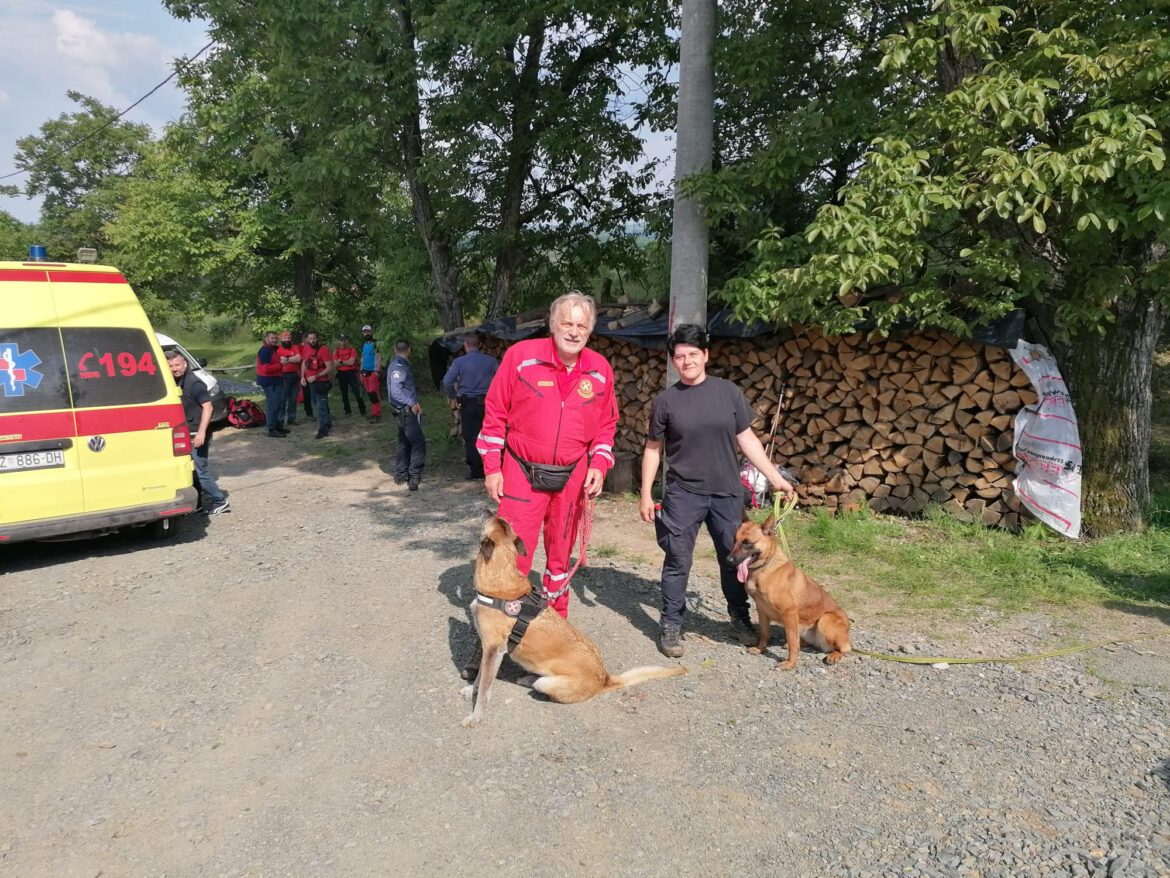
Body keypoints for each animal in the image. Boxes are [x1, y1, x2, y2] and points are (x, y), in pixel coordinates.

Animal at [462, 515, 685, 727]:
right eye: (500, 520)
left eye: (492, 517)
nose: (487, 509)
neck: (501, 576)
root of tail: (604, 679)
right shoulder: (488, 650)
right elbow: (479, 678)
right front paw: (471, 690)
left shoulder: (494, 651)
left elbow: (484, 690)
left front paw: (476, 716)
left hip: (548, 684)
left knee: (545, 688)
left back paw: (531, 681)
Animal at [727, 512, 852, 669]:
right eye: (734, 540)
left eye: (747, 543)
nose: (728, 560)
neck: (765, 567)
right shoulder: (762, 610)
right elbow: (765, 633)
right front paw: (761, 649)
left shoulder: (789, 613)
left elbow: (792, 641)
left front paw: (791, 663)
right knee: (806, 642)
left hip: (825, 620)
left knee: (845, 648)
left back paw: (834, 655)